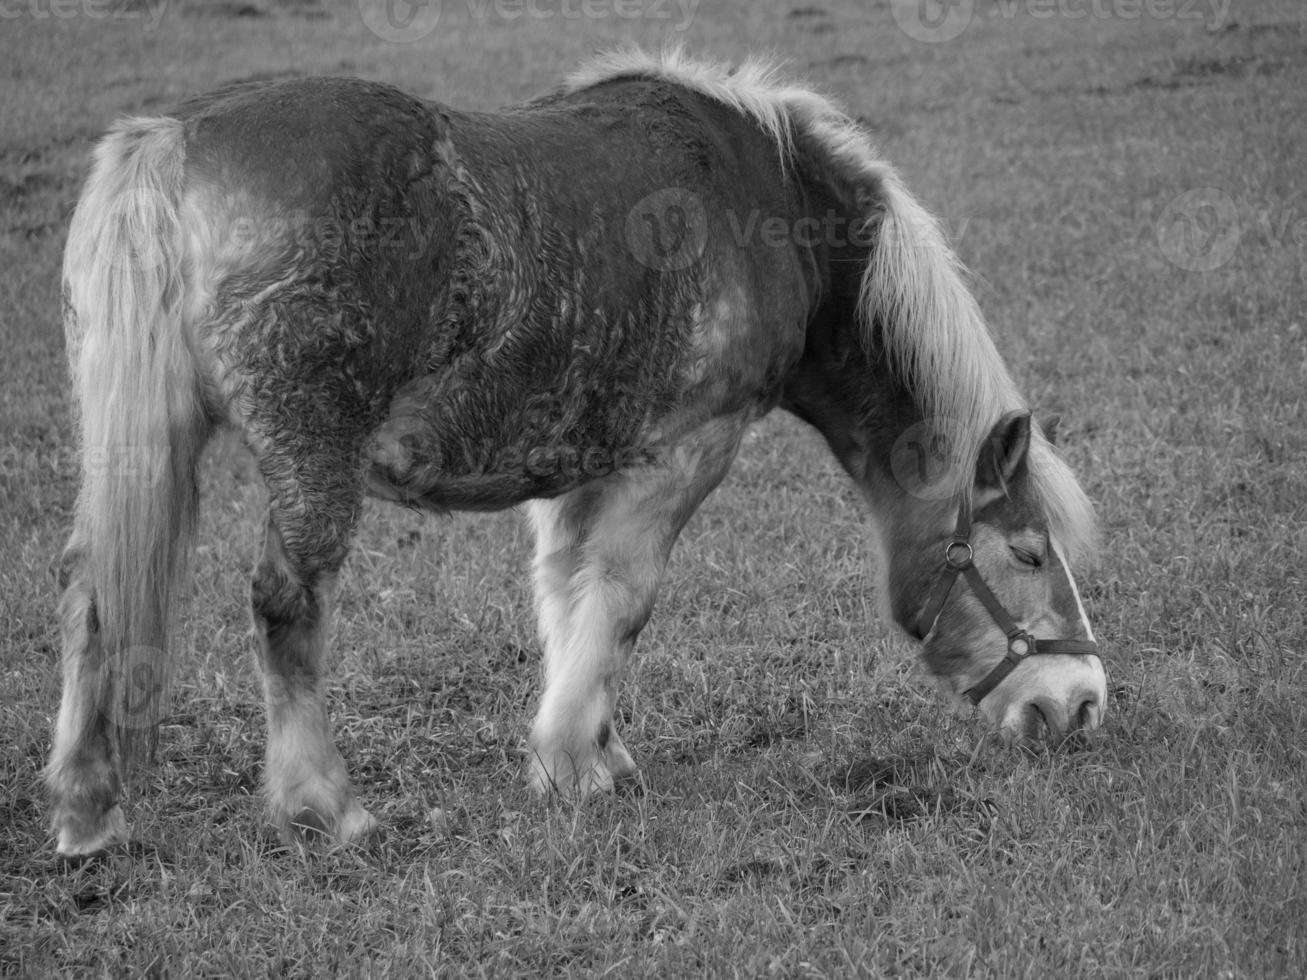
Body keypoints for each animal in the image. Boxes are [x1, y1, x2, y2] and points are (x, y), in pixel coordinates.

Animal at [48, 49, 1103, 857]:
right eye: (1026, 554)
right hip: (311, 461)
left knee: (93, 598)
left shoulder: (573, 470)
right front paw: (569, 763)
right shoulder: (683, 451)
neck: (763, 198)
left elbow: (566, 596)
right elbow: (624, 598)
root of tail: (174, 139)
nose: (1083, 704)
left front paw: (593, 753)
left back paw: (88, 814)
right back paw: (328, 808)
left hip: (141, 452)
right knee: (285, 605)